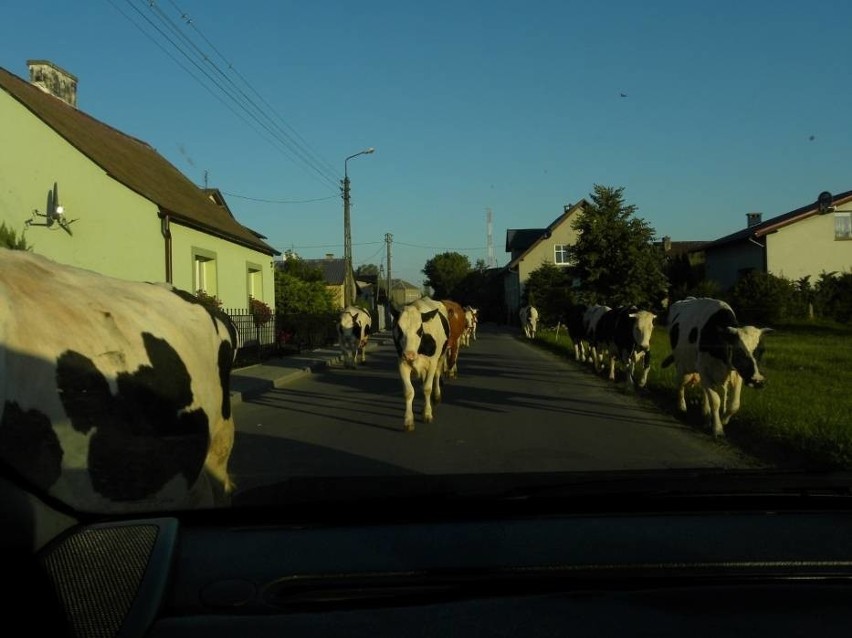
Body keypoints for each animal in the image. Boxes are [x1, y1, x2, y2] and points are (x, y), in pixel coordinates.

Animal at [390, 298, 450, 432]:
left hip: (441, 357)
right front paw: (408, 421)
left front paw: (427, 414)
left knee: (436, 376)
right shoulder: (402, 364)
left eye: (420, 330)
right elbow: (409, 392)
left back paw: (436, 397)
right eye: (399, 329)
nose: (409, 354)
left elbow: (427, 388)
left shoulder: (432, 363)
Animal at [660, 298, 772, 438]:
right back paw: (682, 407)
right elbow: (715, 400)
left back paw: (706, 415)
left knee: (702, 390)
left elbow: (734, 404)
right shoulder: (704, 370)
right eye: (739, 351)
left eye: (762, 351)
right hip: (683, 366)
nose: (758, 380)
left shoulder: (736, 373)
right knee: (680, 384)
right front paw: (718, 428)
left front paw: (724, 420)